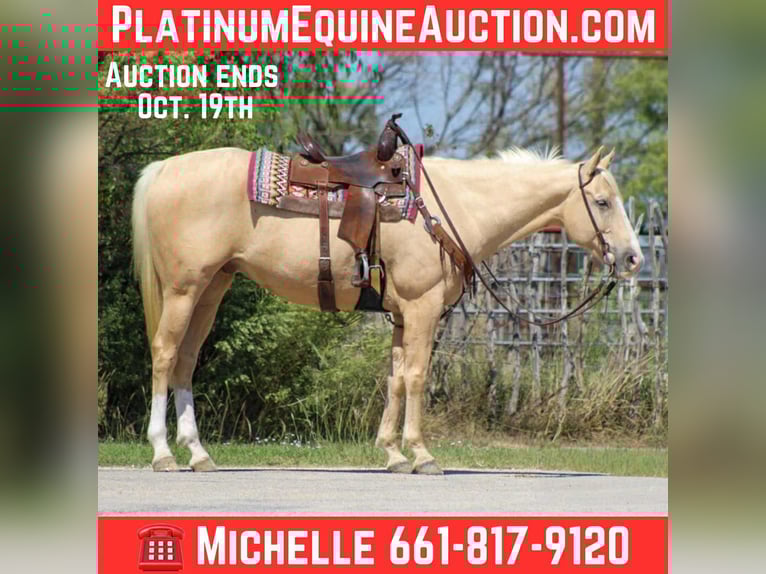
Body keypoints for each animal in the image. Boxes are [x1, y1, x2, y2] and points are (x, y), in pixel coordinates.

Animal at [131, 143, 642, 474]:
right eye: (602, 201)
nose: (634, 258)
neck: (450, 207)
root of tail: (164, 169)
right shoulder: (421, 307)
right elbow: (416, 376)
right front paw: (422, 454)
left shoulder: (401, 314)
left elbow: (395, 379)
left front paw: (393, 454)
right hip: (183, 289)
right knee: (164, 355)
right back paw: (163, 454)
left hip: (212, 287)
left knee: (186, 361)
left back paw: (198, 454)